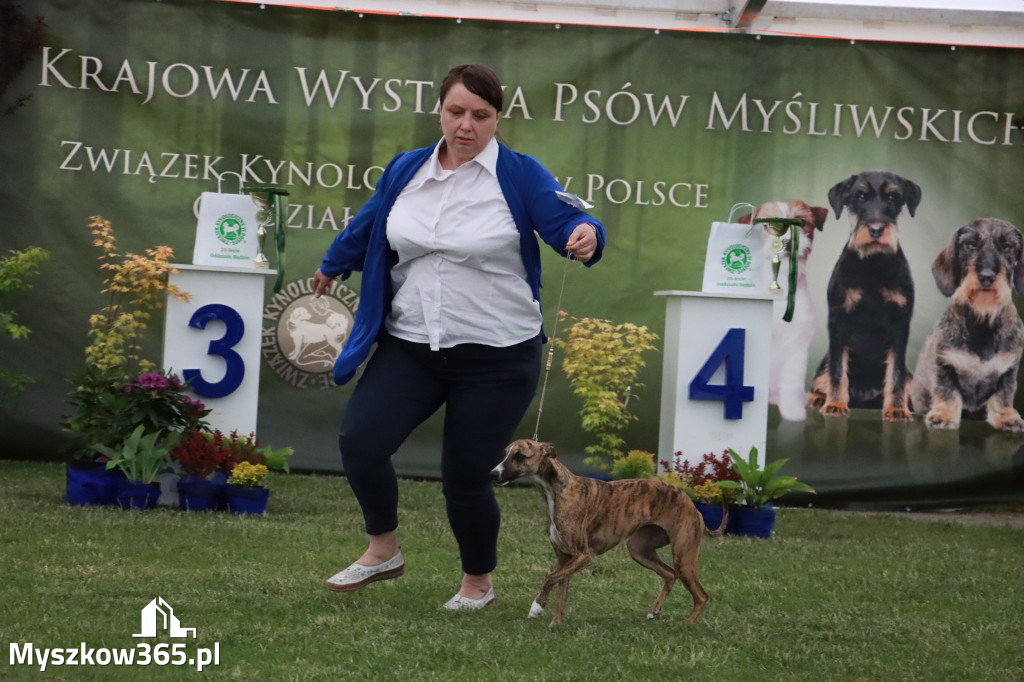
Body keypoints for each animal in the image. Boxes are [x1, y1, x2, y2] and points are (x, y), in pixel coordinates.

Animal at [491, 438, 724, 622]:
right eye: (505, 453)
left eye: (520, 455)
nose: (493, 474)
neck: (558, 490)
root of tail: (693, 506)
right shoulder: (565, 558)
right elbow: (560, 590)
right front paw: (555, 624)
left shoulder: (583, 556)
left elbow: (550, 578)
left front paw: (536, 607)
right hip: (640, 550)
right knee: (669, 574)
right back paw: (654, 610)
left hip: (684, 557)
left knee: (701, 595)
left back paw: (687, 624)